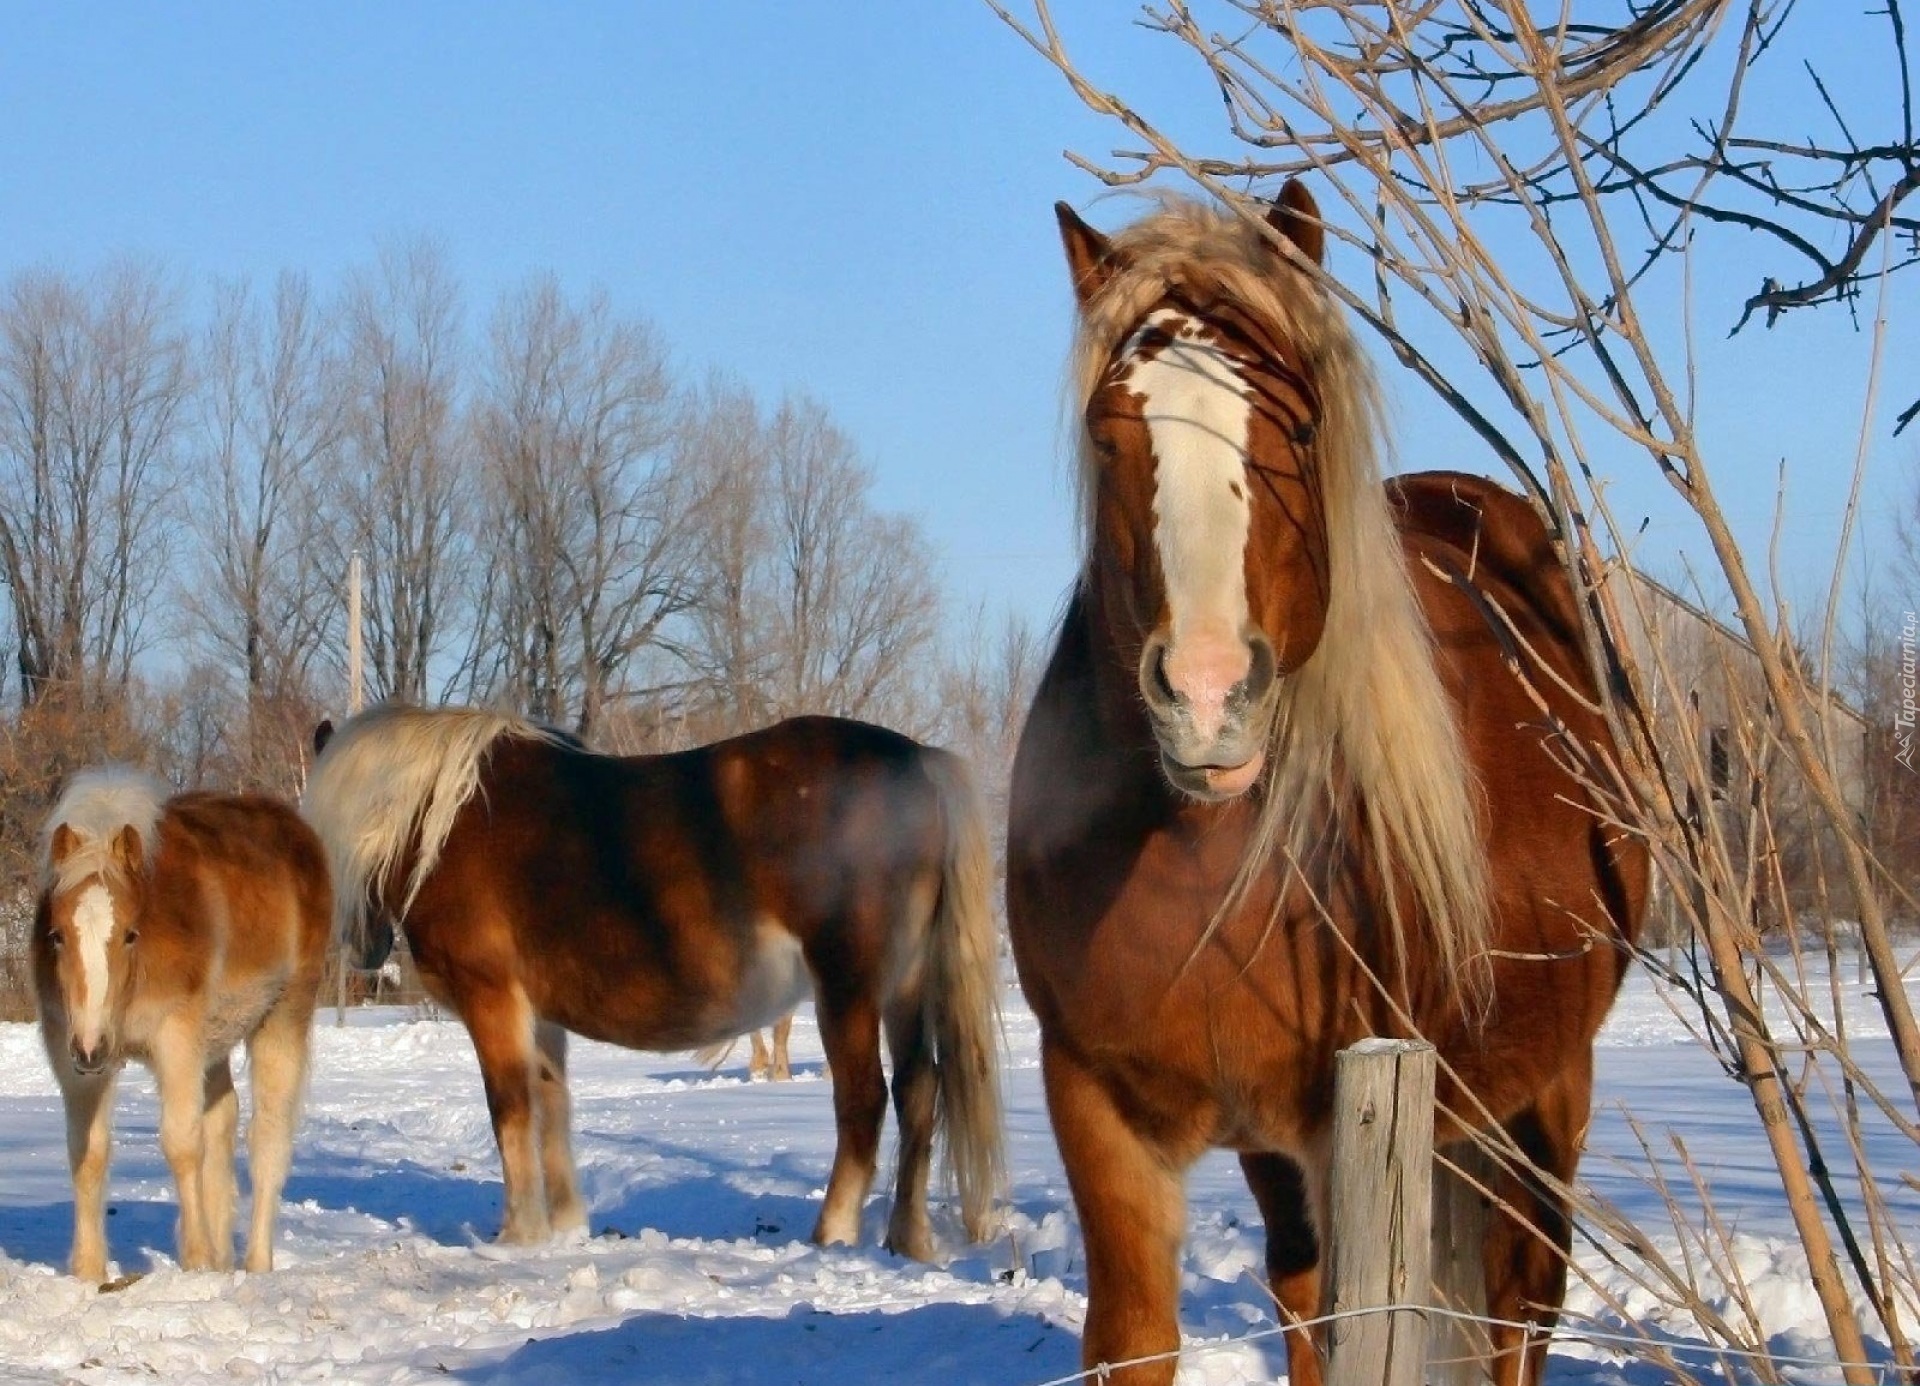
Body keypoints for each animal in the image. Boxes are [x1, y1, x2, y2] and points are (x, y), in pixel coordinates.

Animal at [31, 760, 330, 1282]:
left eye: (130, 934)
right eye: (57, 935)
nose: (91, 1048)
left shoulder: (175, 1040)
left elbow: (181, 1144)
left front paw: (196, 1261)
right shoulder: (71, 1055)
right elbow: (88, 1152)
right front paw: (89, 1273)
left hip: (282, 1018)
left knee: (268, 1141)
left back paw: (256, 1265)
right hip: (215, 1041)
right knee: (223, 1123)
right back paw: (225, 1258)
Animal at [299, 702, 1006, 1251]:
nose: (363, 949)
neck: (448, 824)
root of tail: (918, 762)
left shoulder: (492, 999)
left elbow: (511, 1112)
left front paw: (518, 1235)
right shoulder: (541, 1014)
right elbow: (552, 1108)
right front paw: (566, 1229)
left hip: (848, 990)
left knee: (864, 1100)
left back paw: (832, 1233)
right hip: (905, 989)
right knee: (919, 1091)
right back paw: (908, 1240)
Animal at [1013, 186, 1658, 1382]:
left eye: (1301, 426)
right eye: (1107, 435)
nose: (1207, 693)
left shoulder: (1346, 1121)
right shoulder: (1098, 1110)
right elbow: (1142, 1340)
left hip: (1544, 1096)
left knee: (1521, 1307)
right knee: (1308, 1288)